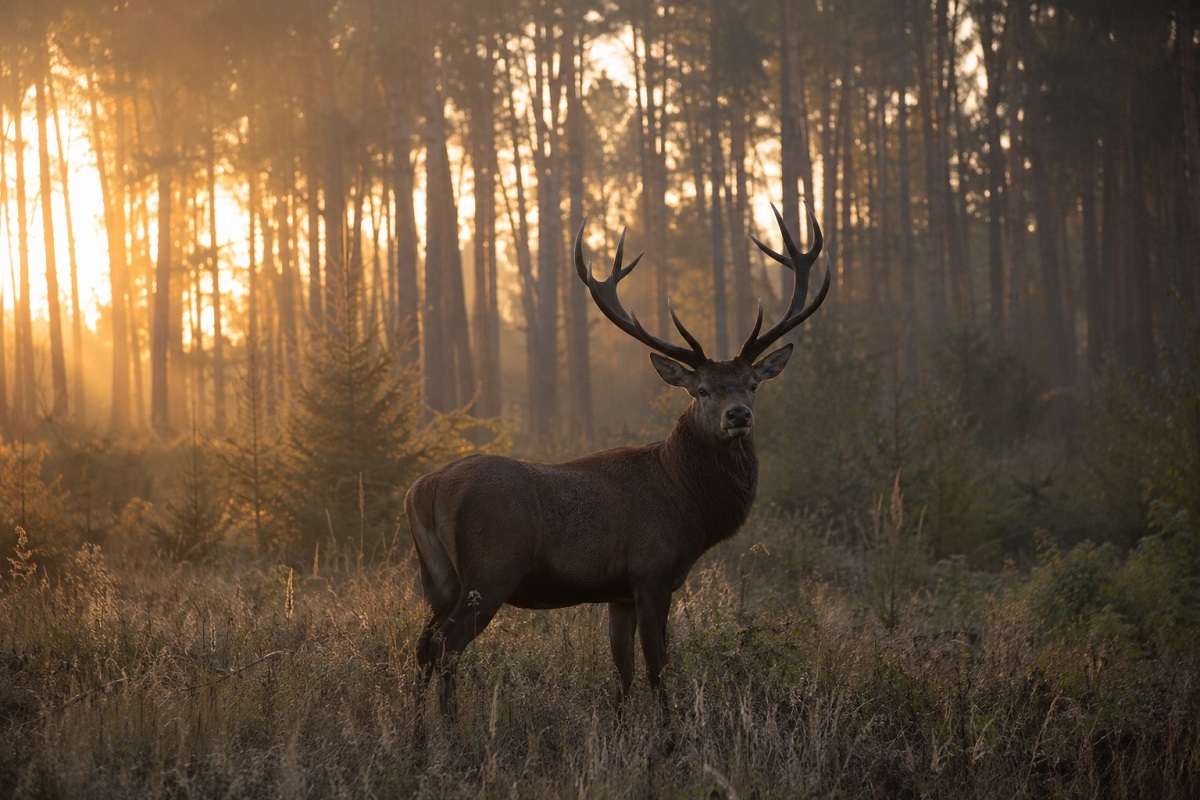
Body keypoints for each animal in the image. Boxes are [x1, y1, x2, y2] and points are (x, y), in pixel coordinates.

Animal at [404, 202, 829, 721]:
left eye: (752, 384)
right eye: (701, 389)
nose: (738, 416)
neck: (687, 505)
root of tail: (423, 491)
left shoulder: (618, 592)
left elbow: (622, 671)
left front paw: (623, 727)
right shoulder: (652, 573)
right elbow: (657, 668)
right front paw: (667, 734)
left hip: (436, 576)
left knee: (422, 645)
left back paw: (420, 734)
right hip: (490, 570)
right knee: (446, 646)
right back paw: (449, 728)